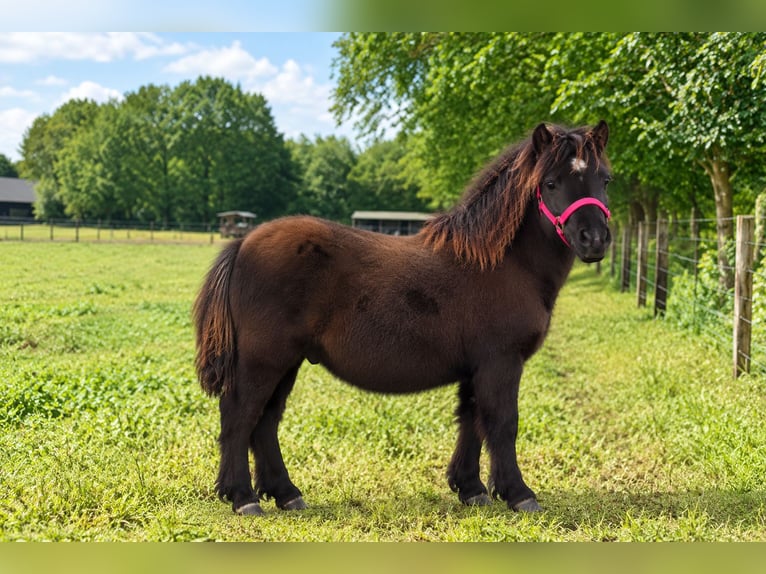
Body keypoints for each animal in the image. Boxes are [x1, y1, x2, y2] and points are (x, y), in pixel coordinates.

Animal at [194, 121, 612, 516]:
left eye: (605, 179)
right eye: (551, 183)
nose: (594, 239)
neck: (503, 263)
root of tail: (243, 242)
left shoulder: (476, 368)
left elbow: (471, 422)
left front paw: (471, 488)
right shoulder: (501, 363)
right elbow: (503, 423)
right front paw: (518, 493)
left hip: (286, 363)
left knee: (265, 421)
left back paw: (285, 493)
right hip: (263, 361)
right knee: (240, 417)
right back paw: (243, 497)